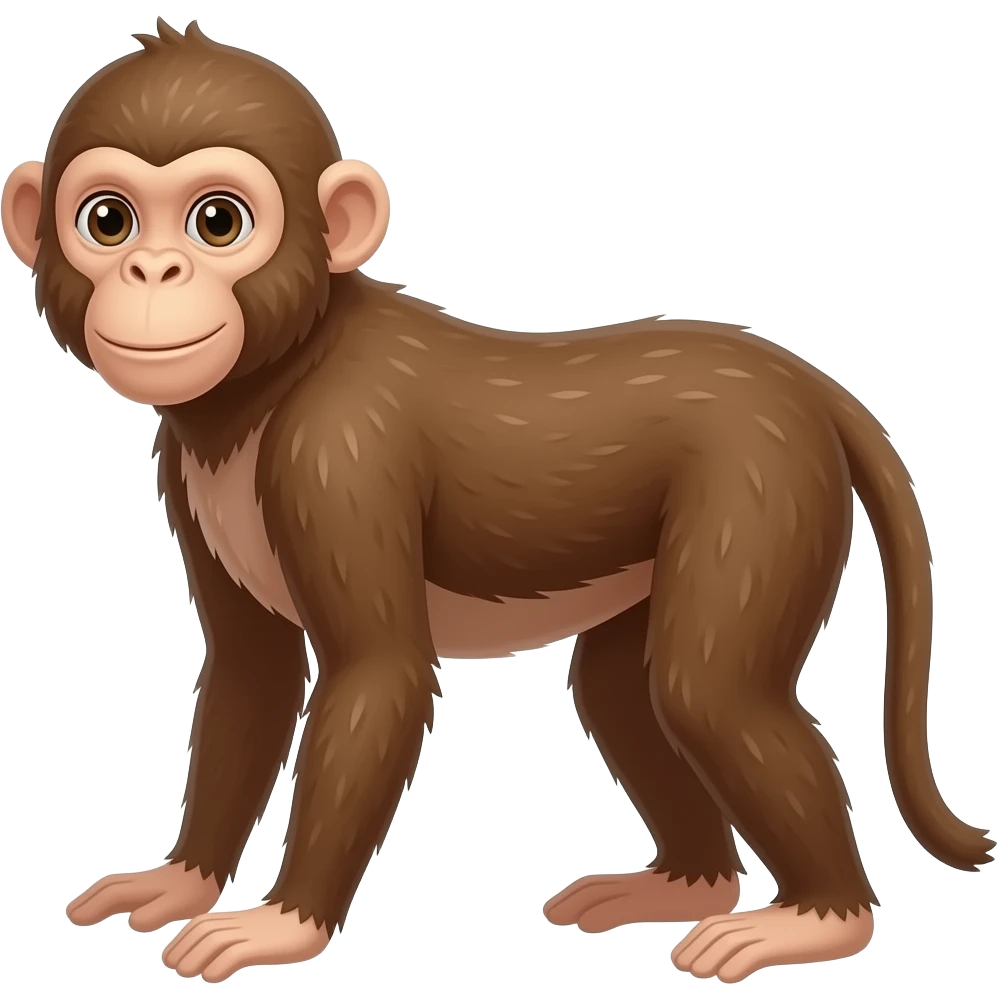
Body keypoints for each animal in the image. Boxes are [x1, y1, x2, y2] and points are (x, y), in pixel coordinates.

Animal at [2, 16, 993, 986]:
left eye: (217, 221)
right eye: (109, 220)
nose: (153, 273)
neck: (272, 378)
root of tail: (804, 380)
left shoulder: (339, 452)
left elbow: (379, 673)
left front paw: (283, 924)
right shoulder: (185, 468)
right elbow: (252, 673)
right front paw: (182, 879)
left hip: (763, 480)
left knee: (708, 690)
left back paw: (820, 918)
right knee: (621, 689)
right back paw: (688, 885)